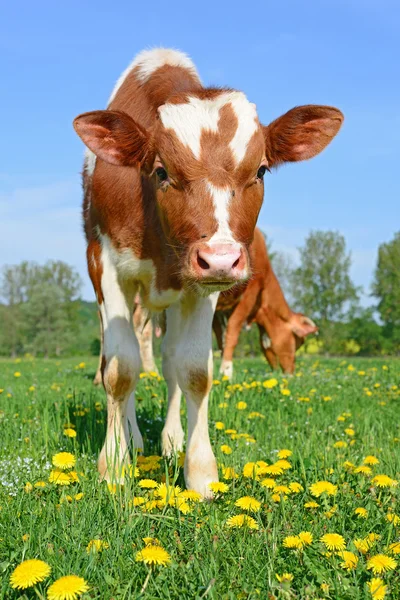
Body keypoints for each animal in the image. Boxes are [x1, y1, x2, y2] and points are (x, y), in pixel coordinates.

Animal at [212, 227, 318, 378]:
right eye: (297, 342)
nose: (291, 373)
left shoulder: (218, 310)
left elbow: (219, 338)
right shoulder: (249, 293)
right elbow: (231, 334)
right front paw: (226, 372)